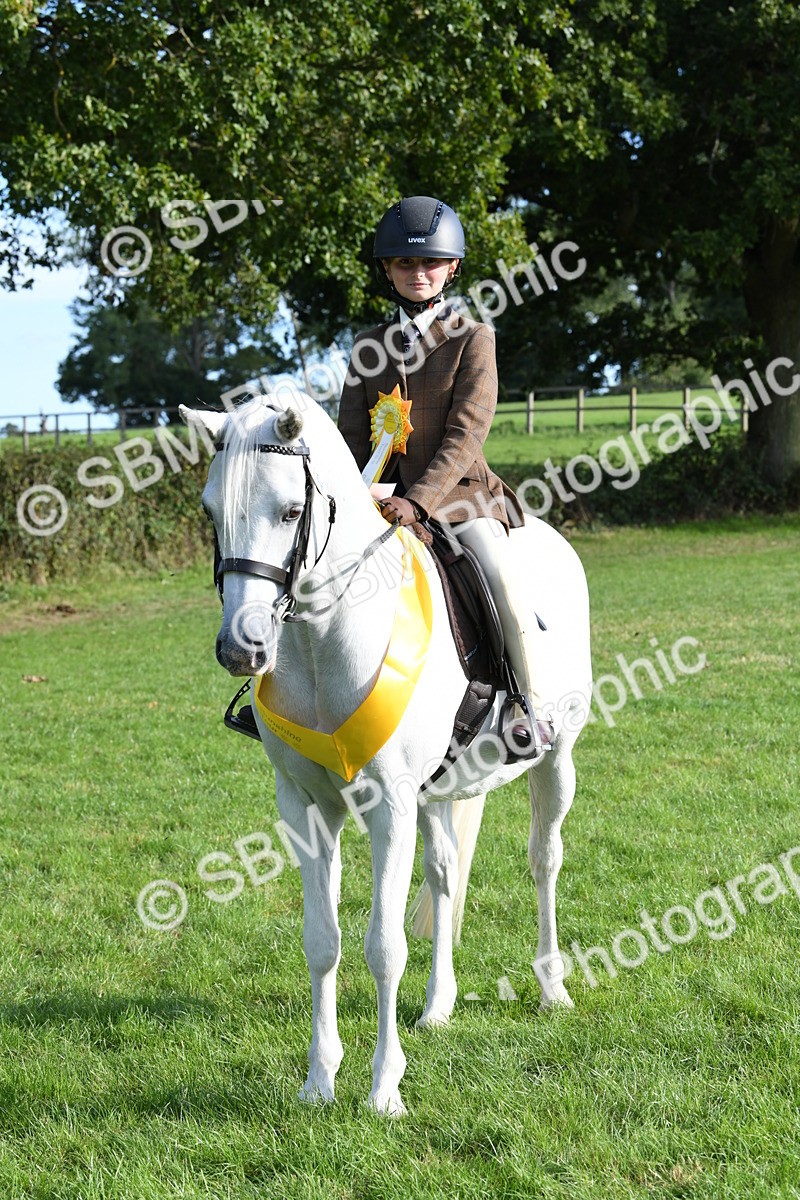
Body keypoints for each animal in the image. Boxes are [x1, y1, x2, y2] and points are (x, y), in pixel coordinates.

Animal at [180, 393, 592, 1116]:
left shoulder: (389, 806)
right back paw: (438, 1007)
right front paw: (319, 1081)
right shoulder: (308, 807)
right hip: (436, 792)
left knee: (545, 861)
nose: (240, 650)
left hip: (555, 758)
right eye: (209, 510)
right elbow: (323, 942)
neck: (321, 643)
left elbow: (384, 947)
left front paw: (383, 1089)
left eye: (291, 511)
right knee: (446, 874)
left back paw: (552, 989)